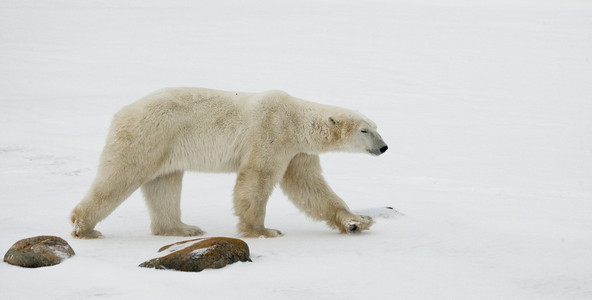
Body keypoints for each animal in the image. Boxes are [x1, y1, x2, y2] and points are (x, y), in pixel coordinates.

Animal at [70, 87, 388, 239]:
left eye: (376, 126)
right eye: (365, 130)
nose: (384, 147)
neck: (295, 120)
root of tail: (121, 113)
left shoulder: (298, 152)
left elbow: (309, 187)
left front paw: (356, 221)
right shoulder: (271, 132)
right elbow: (257, 177)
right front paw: (262, 230)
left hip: (164, 147)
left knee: (164, 184)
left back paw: (183, 228)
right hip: (149, 134)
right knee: (120, 175)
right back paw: (85, 226)